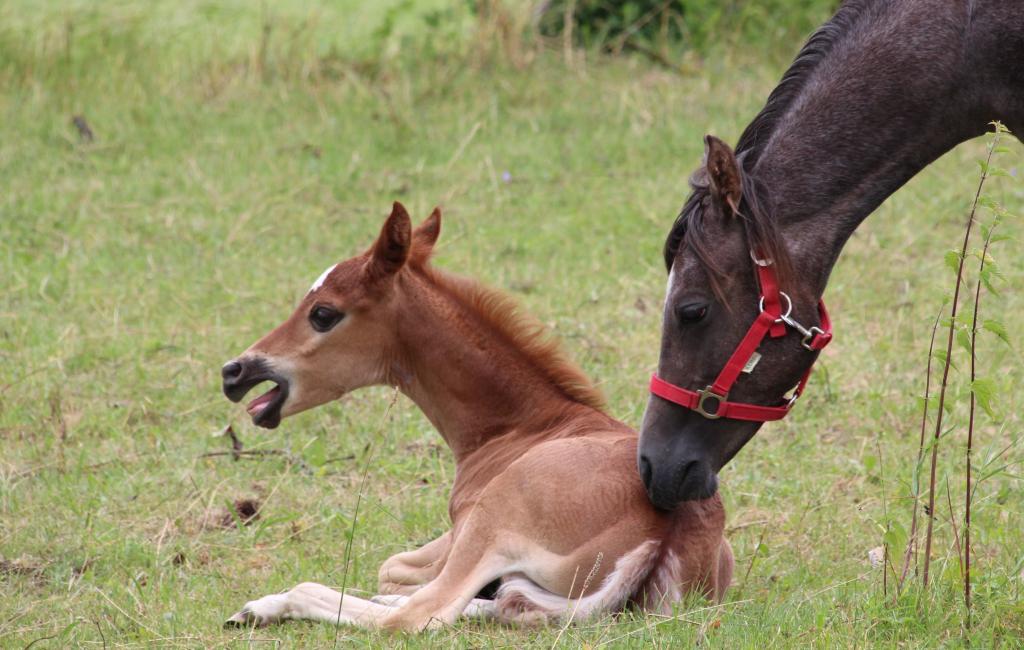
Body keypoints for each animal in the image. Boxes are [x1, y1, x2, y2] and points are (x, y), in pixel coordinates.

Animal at [222, 203, 737, 630]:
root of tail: (667, 532)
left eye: (323, 313)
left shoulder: (462, 529)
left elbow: (392, 570)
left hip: (493, 521)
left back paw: (263, 607)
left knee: (418, 615)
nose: (236, 370)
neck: (519, 426)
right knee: (512, 604)